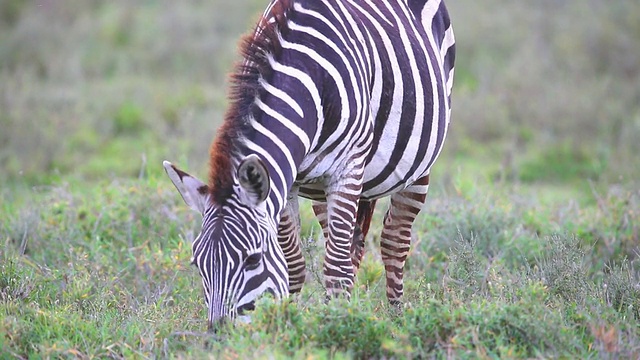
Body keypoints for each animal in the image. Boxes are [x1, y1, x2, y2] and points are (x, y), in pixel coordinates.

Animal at [165, 0, 456, 330]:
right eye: (197, 263)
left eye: (252, 259)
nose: (221, 334)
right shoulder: (285, 181)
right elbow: (293, 264)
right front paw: (287, 325)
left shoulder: (347, 170)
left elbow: (336, 269)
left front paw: (335, 328)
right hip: (320, 189)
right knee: (347, 245)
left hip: (418, 166)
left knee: (394, 241)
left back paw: (397, 321)